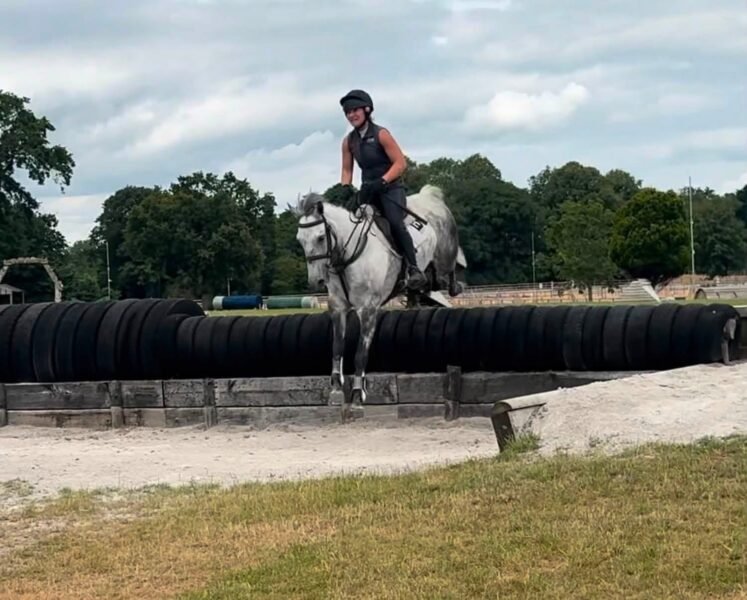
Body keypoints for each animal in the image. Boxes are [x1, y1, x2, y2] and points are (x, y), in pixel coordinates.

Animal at [294, 184, 465, 420]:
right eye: (300, 240)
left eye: (320, 237)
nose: (315, 281)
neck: (347, 256)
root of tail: (430, 196)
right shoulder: (338, 308)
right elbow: (337, 348)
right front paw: (336, 391)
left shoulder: (368, 310)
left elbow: (360, 354)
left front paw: (357, 397)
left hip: (445, 257)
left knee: (448, 273)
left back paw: (452, 284)